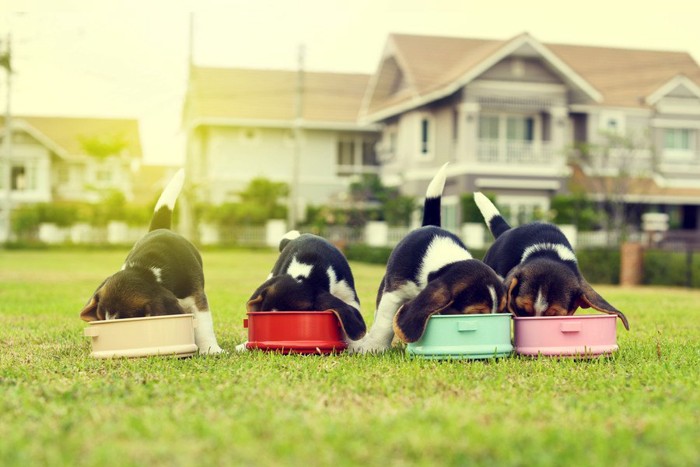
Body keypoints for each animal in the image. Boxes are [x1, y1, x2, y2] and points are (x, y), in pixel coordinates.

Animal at [78, 169, 223, 354]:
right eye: (101, 317)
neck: (146, 270)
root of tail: (160, 228)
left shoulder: (196, 297)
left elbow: (204, 325)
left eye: (127, 318)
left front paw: (211, 349)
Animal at [348, 165, 504, 354]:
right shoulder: (393, 293)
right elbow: (384, 324)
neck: (444, 262)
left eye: (502, 311)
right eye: (476, 314)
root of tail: (430, 224)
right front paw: (374, 347)